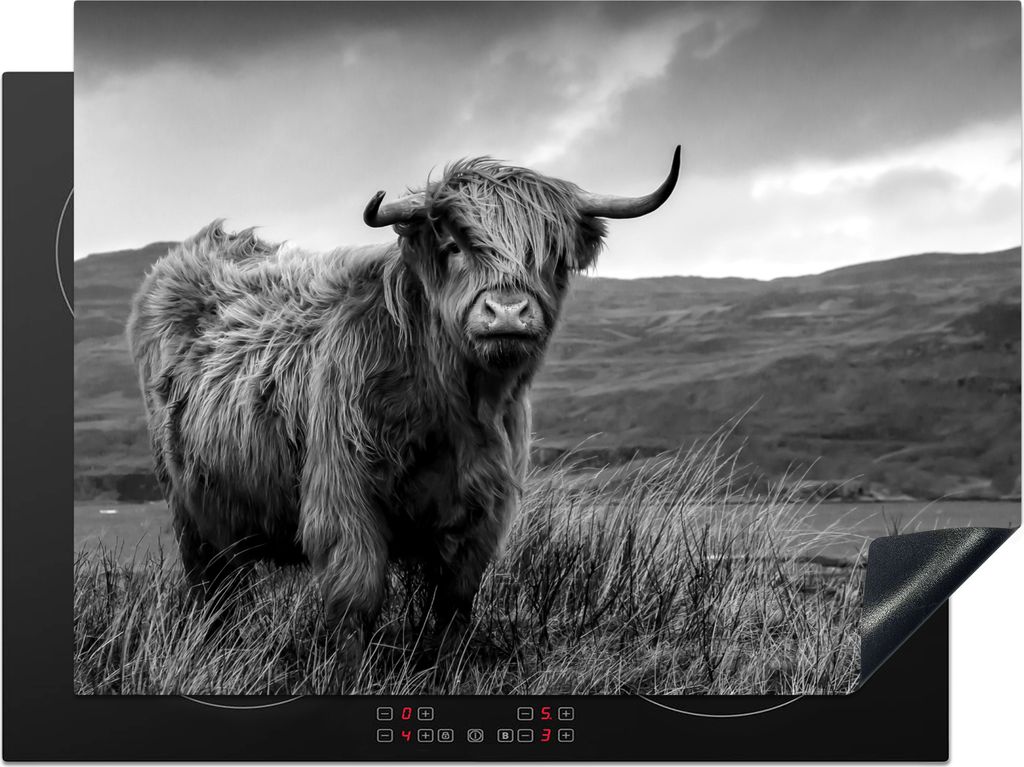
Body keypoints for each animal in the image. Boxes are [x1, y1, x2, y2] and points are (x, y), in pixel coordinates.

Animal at [126, 147, 681, 663]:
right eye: (454, 246)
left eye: (551, 255)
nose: (506, 312)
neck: (455, 408)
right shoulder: (344, 500)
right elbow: (355, 603)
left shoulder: (482, 514)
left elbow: (455, 606)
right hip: (189, 509)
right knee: (212, 588)